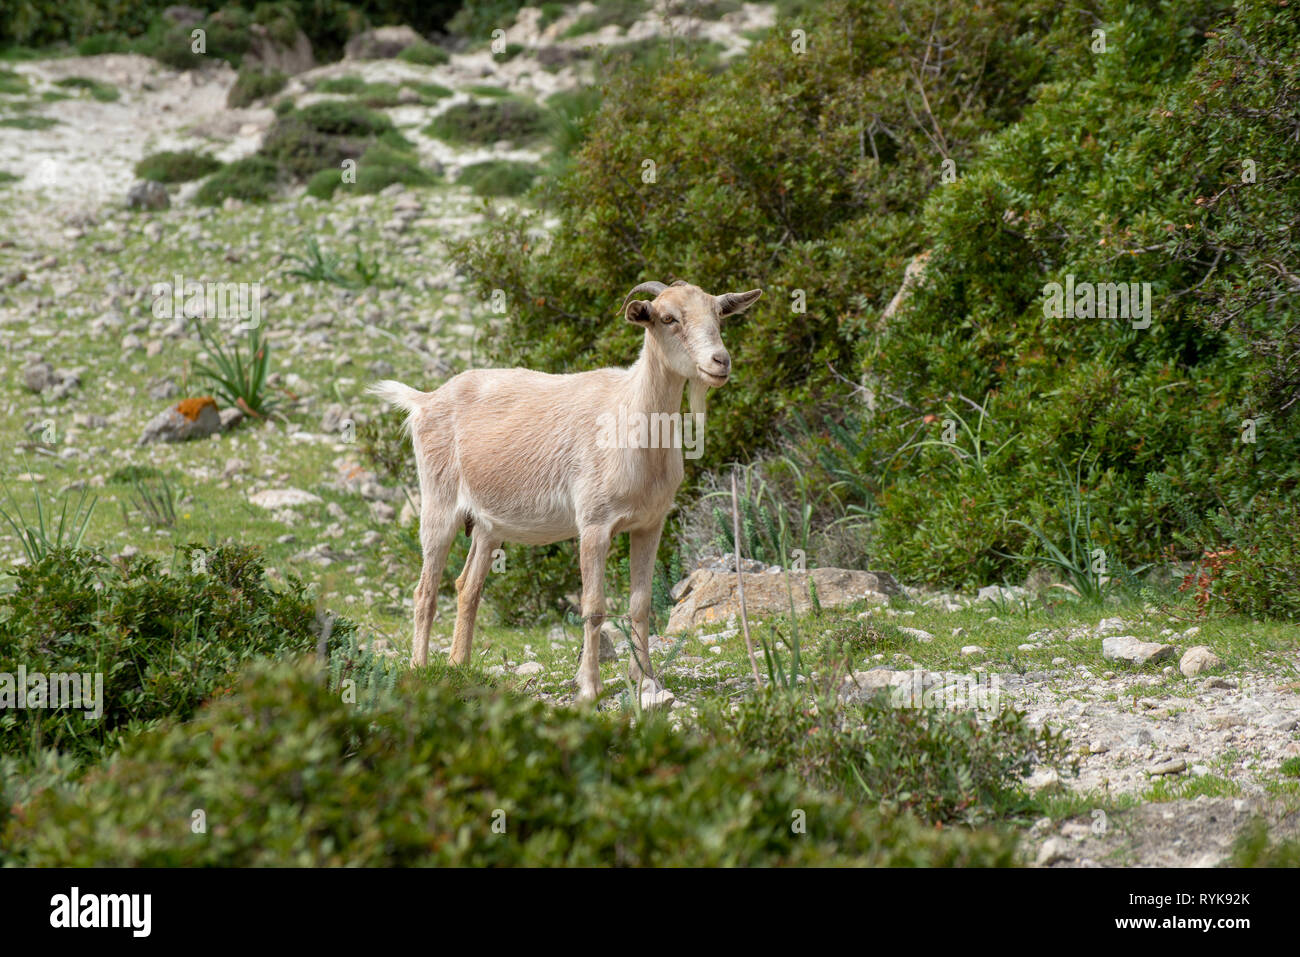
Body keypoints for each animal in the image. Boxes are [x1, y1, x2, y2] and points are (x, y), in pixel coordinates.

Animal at [369, 280, 759, 696]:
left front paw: (647, 681)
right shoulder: (594, 524)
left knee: (467, 586)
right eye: (668, 318)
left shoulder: (650, 524)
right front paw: (589, 687)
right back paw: (419, 668)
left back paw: (459, 666)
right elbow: (594, 606)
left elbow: (640, 604)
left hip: (489, 526)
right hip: (437, 504)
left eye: (718, 314)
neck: (632, 421)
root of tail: (424, 401)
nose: (720, 361)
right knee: (425, 591)